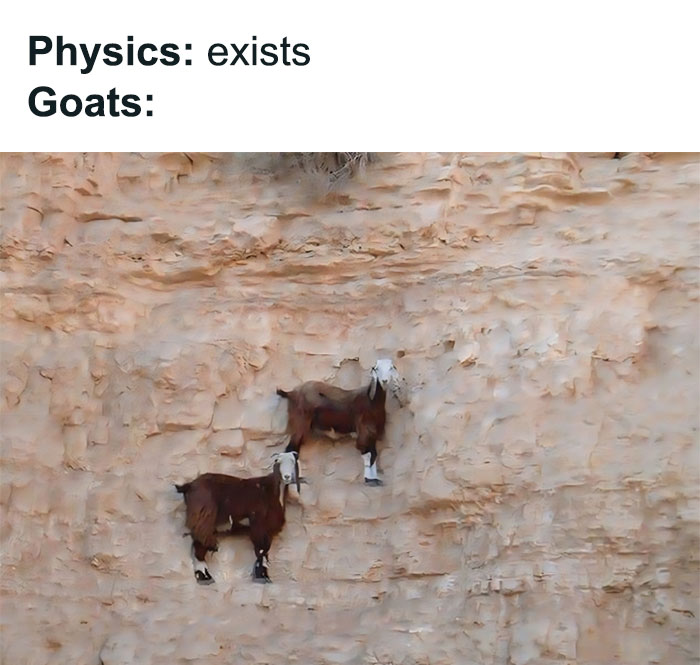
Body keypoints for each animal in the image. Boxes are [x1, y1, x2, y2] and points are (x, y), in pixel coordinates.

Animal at [174, 451, 300, 585]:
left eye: (293, 461)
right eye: (278, 461)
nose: (287, 476)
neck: (269, 490)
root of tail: (189, 485)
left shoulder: (268, 527)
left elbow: (265, 550)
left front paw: (265, 576)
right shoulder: (258, 522)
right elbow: (261, 549)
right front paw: (261, 577)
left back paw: (206, 577)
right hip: (203, 516)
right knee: (201, 542)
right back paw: (205, 577)